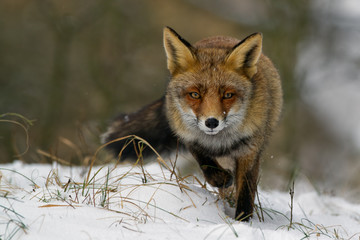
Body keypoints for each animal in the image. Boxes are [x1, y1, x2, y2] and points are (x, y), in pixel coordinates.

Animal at [101, 26, 282, 221]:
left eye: (228, 95)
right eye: (195, 94)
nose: (211, 122)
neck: (220, 142)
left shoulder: (250, 151)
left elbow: (246, 196)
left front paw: (242, 222)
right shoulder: (190, 138)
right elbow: (207, 166)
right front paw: (221, 179)